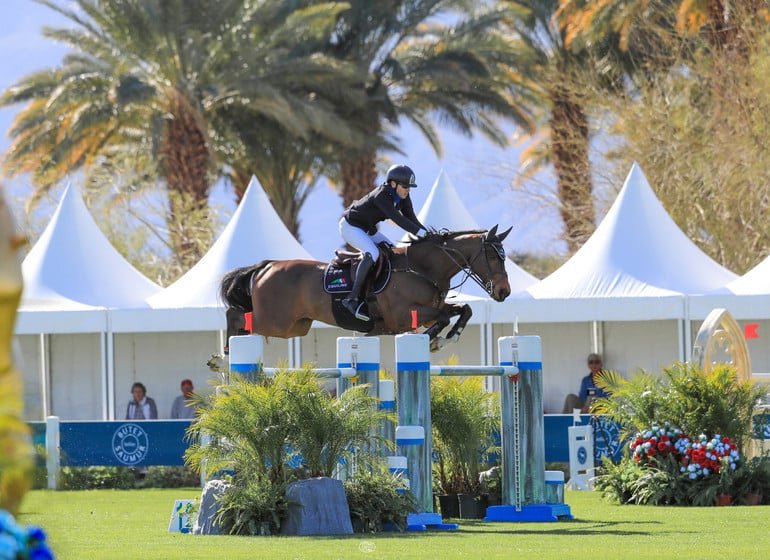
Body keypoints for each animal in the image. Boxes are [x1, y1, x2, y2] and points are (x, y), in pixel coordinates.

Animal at [220, 226, 512, 351]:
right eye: (493, 256)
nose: (504, 292)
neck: (422, 267)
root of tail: (266, 266)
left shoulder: (431, 308)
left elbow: (463, 309)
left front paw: (448, 337)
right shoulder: (401, 316)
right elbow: (442, 317)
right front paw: (433, 338)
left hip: (296, 326)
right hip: (276, 322)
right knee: (237, 317)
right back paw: (222, 356)